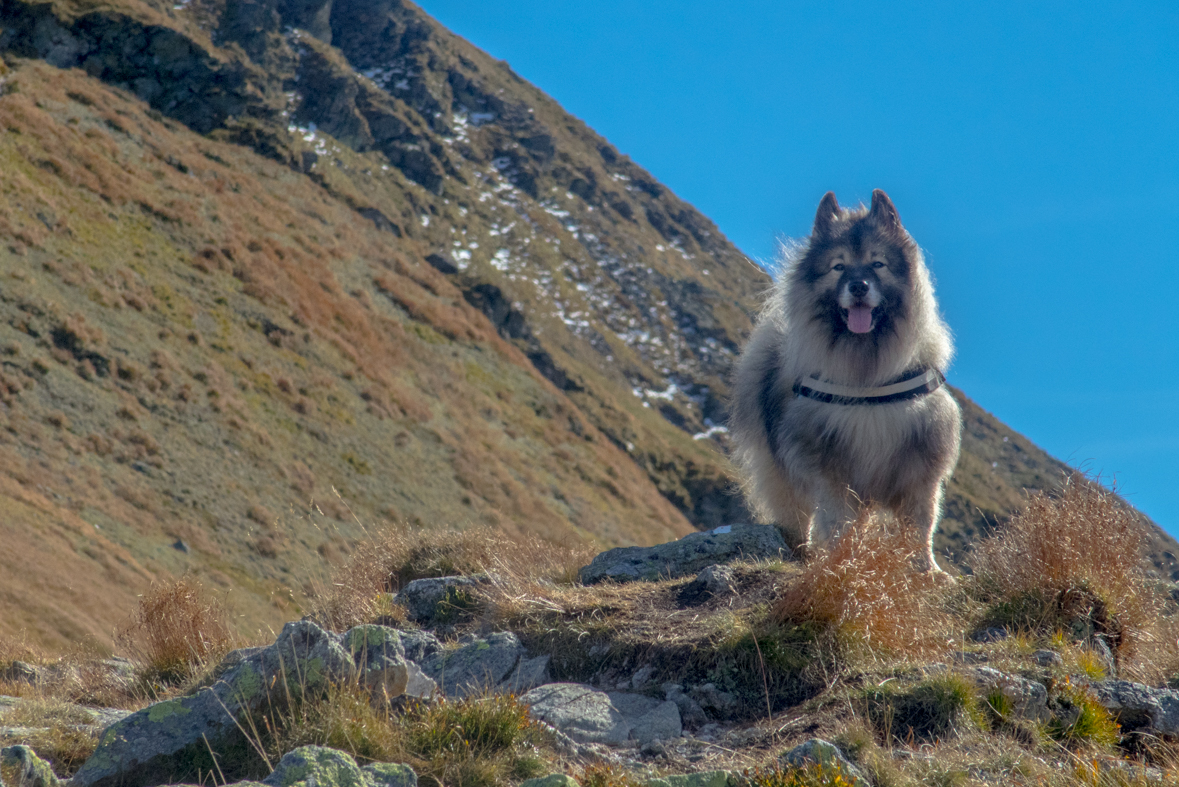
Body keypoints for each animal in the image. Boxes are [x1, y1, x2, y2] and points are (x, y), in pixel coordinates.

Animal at [730, 190, 962, 572]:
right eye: (838, 266)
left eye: (877, 264)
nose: (858, 286)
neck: (867, 376)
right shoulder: (830, 467)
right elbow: (838, 520)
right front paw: (841, 561)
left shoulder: (921, 465)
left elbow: (920, 523)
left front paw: (926, 570)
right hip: (782, 472)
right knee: (796, 515)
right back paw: (799, 551)